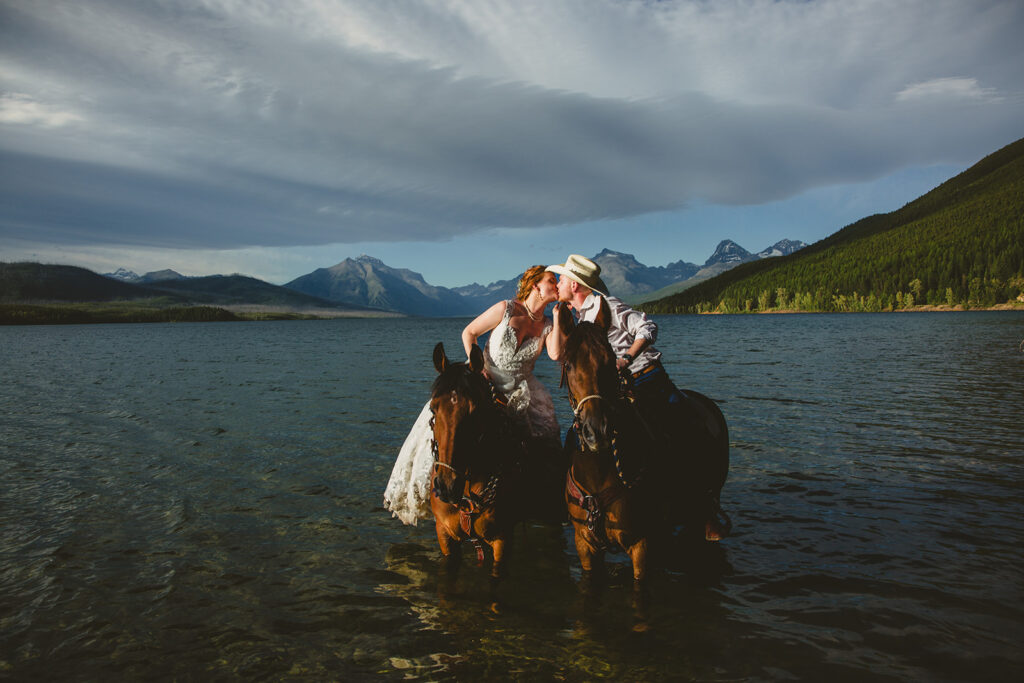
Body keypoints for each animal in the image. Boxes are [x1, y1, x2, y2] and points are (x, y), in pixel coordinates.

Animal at [561, 299, 729, 581]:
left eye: (610, 361)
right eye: (569, 364)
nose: (597, 431)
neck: (600, 471)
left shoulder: (643, 545)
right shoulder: (585, 544)